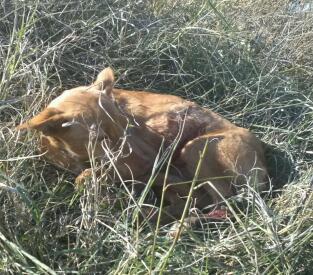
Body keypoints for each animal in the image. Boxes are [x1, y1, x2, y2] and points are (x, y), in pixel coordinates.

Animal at [17, 68, 266, 225]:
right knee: (196, 200)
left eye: (125, 123)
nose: (152, 163)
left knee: (225, 204)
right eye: (100, 139)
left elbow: (87, 176)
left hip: (197, 148)